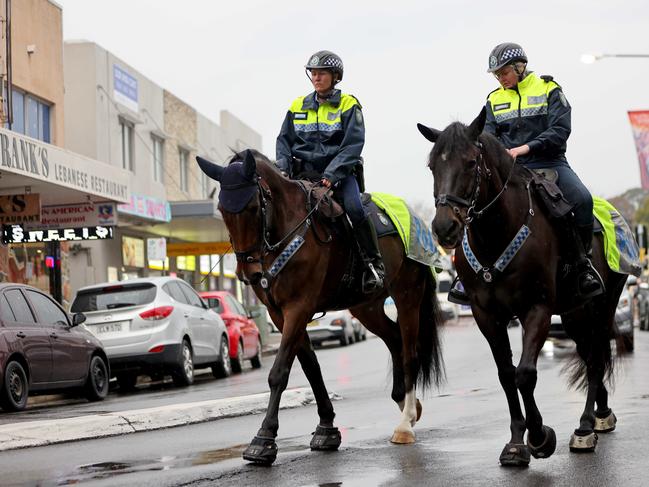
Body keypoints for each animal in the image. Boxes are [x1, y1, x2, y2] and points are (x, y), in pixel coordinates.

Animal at [195, 151, 442, 468]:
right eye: (222, 209)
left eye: (252, 206)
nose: (248, 272)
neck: (288, 232)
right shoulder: (279, 313)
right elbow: (311, 367)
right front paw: (327, 428)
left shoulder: (298, 308)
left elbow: (279, 372)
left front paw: (264, 439)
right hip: (366, 307)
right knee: (394, 339)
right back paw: (405, 404)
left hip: (407, 295)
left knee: (410, 351)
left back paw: (405, 423)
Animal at [418, 108, 632, 468]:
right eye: (433, 165)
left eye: (471, 163)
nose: (445, 227)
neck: (498, 233)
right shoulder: (486, 315)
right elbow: (506, 374)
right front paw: (517, 443)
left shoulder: (537, 309)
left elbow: (525, 373)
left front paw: (540, 437)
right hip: (574, 314)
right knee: (589, 353)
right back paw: (600, 414)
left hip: (602, 306)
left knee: (596, 358)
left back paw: (586, 427)